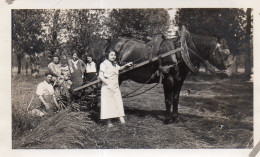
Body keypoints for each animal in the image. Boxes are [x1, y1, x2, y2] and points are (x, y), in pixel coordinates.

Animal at [92, 27, 236, 124]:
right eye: (226, 52)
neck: (180, 51)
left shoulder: (179, 80)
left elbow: (176, 98)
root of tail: (110, 43)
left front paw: (175, 118)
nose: (229, 72)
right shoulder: (169, 79)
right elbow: (168, 99)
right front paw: (167, 119)